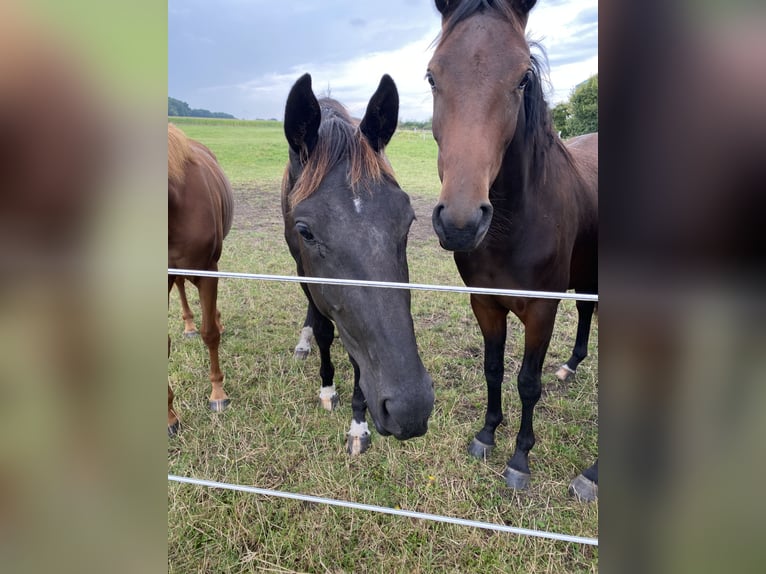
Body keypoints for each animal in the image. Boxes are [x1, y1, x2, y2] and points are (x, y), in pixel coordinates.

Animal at [284, 73, 438, 454]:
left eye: (408, 219)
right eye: (305, 231)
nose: (410, 406)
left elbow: (358, 353)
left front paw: (358, 423)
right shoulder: (306, 271)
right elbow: (325, 331)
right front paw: (327, 389)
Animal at [428, 0, 596, 502]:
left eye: (522, 78)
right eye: (432, 76)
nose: (460, 223)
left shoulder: (541, 311)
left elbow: (527, 382)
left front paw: (520, 458)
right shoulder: (485, 304)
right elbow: (492, 369)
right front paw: (486, 434)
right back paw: (571, 366)